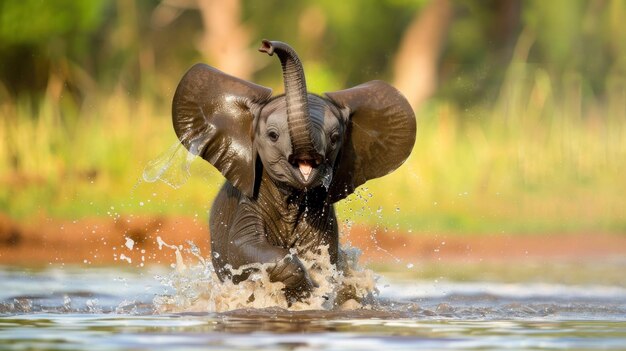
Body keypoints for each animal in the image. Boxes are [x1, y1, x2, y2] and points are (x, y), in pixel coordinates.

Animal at [171, 40, 414, 302]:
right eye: (272, 135)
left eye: (335, 138)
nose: (267, 46)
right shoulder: (247, 204)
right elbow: (240, 247)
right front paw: (307, 287)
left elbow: (322, 256)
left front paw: (316, 290)